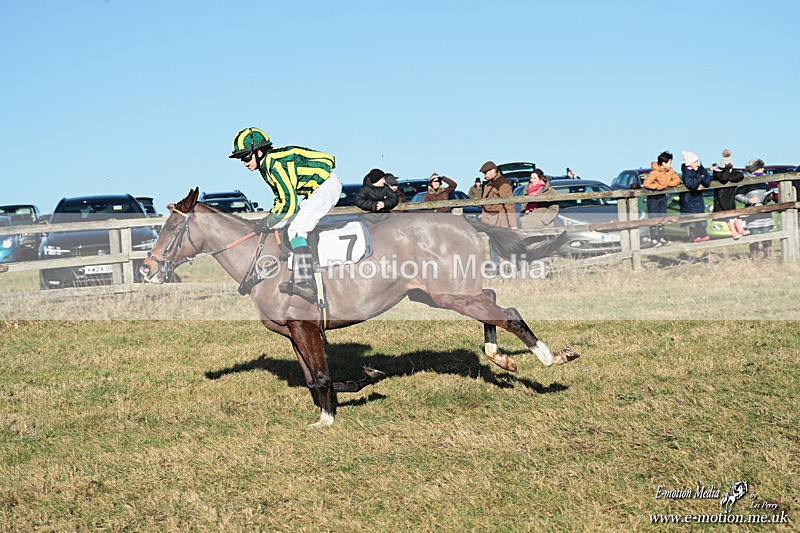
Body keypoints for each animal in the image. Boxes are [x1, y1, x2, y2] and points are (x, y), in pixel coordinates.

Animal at [139, 188, 579, 427]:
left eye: (172, 227)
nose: (146, 268)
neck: (262, 261)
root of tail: (466, 222)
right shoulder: (293, 333)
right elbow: (314, 378)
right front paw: (357, 385)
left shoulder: (305, 328)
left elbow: (319, 376)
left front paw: (329, 418)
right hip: (438, 292)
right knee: (491, 300)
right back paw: (499, 356)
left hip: (448, 293)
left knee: (507, 312)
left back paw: (551, 358)